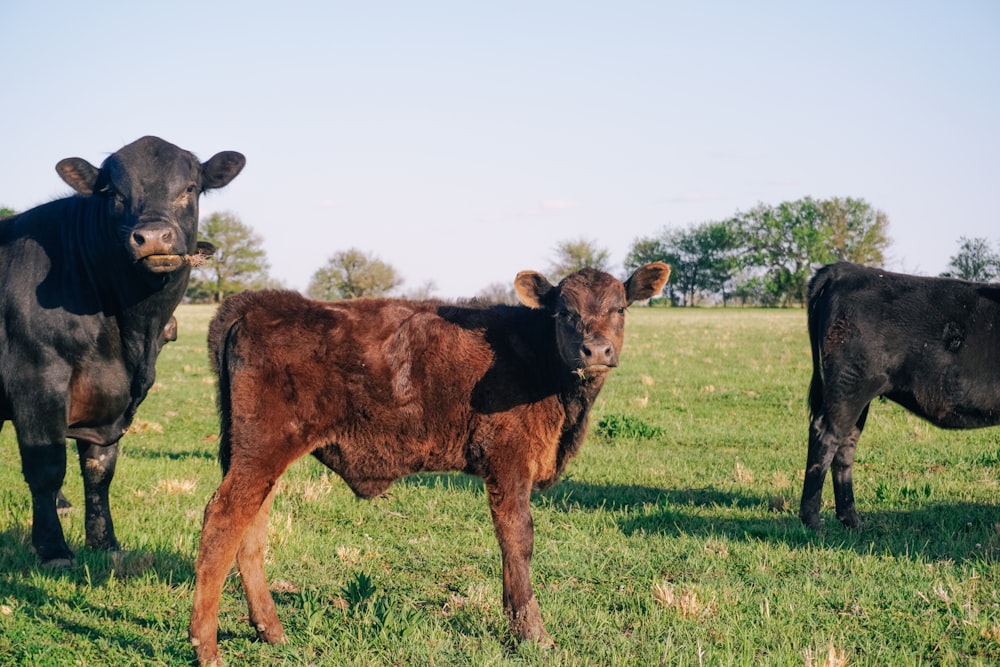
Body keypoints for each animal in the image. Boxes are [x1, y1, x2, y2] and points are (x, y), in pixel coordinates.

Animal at [0, 136, 245, 564]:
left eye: (190, 188)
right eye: (114, 194)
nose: (154, 237)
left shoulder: (114, 402)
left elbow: (100, 469)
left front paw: (104, 542)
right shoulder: (35, 380)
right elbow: (46, 468)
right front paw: (53, 548)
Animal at [189, 264, 672, 664]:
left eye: (620, 307)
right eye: (563, 312)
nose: (595, 350)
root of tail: (258, 303)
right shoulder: (508, 463)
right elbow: (518, 541)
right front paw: (533, 634)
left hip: (260, 458)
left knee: (251, 529)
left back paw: (271, 632)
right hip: (261, 451)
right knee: (224, 518)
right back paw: (206, 647)